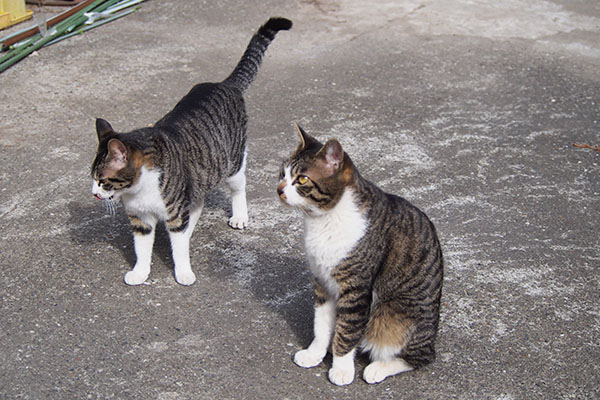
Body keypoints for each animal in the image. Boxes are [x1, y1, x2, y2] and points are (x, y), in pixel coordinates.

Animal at [89, 18, 292, 284]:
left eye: (102, 180)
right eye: (92, 179)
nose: (94, 194)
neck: (139, 189)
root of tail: (225, 84)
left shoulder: (175, 214)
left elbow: (179, 249)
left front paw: (183, 272)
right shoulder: (141, 219)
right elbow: (142, 249)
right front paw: (140, 273)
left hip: (233, 164)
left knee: (238, 188)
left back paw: (239, 215)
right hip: (198, 178)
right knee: (197, 203)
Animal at [278, 124, 442, 384]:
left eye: (302, 179)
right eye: (282, 174)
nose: (279, 190)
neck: (324, 220)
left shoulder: (356, 289)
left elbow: (347, 331)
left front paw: (342, 368)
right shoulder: (322, 282)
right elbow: (321, 325)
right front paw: (315, 353)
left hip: (393, 317)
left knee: (418, 356)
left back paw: (377, 368)